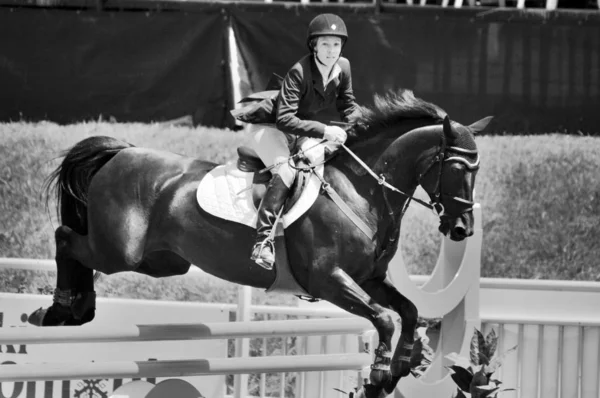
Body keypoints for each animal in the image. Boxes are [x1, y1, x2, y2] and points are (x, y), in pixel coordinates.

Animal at [29, 90, 488, 398]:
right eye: (458, 168)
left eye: (476, 171)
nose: (462, 229)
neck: (363, 189)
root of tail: (120, 153)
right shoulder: (328, 280)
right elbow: (385, 318)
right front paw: (379, 374)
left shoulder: (369, 278)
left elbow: (407, 311)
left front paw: (403, 364)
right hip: (119, 250)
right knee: (66, 239)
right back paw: (61, 310)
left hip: (161, 261)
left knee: (78, 246)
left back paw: (74, 310)